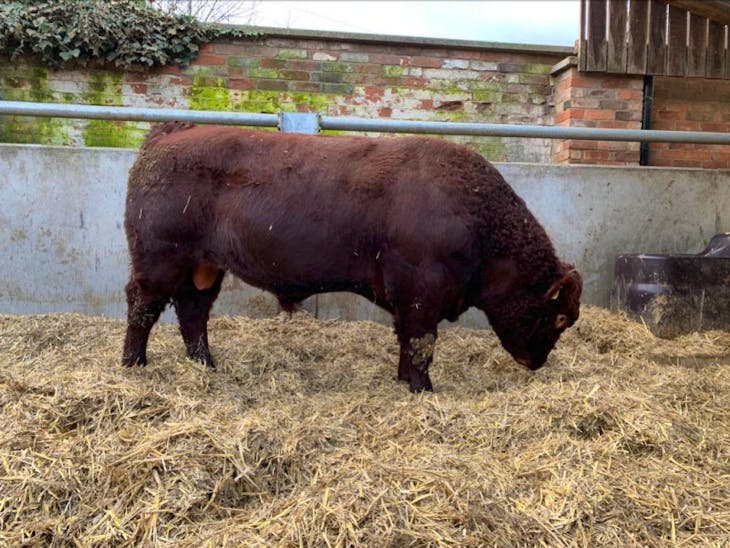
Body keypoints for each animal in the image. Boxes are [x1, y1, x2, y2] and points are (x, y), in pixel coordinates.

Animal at [122, 123, 582, 392]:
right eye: (560, 316)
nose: (537, 362)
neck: (477, 216)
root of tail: (167, 136)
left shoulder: (407, 300)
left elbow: (407, 341)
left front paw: (404, 382)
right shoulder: (421, 293)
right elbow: (421, 343)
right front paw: (423, 389)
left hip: (203, 267)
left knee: (193, 311)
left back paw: (206, 366)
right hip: (159, 260)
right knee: (143, 307)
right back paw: (133, 366)